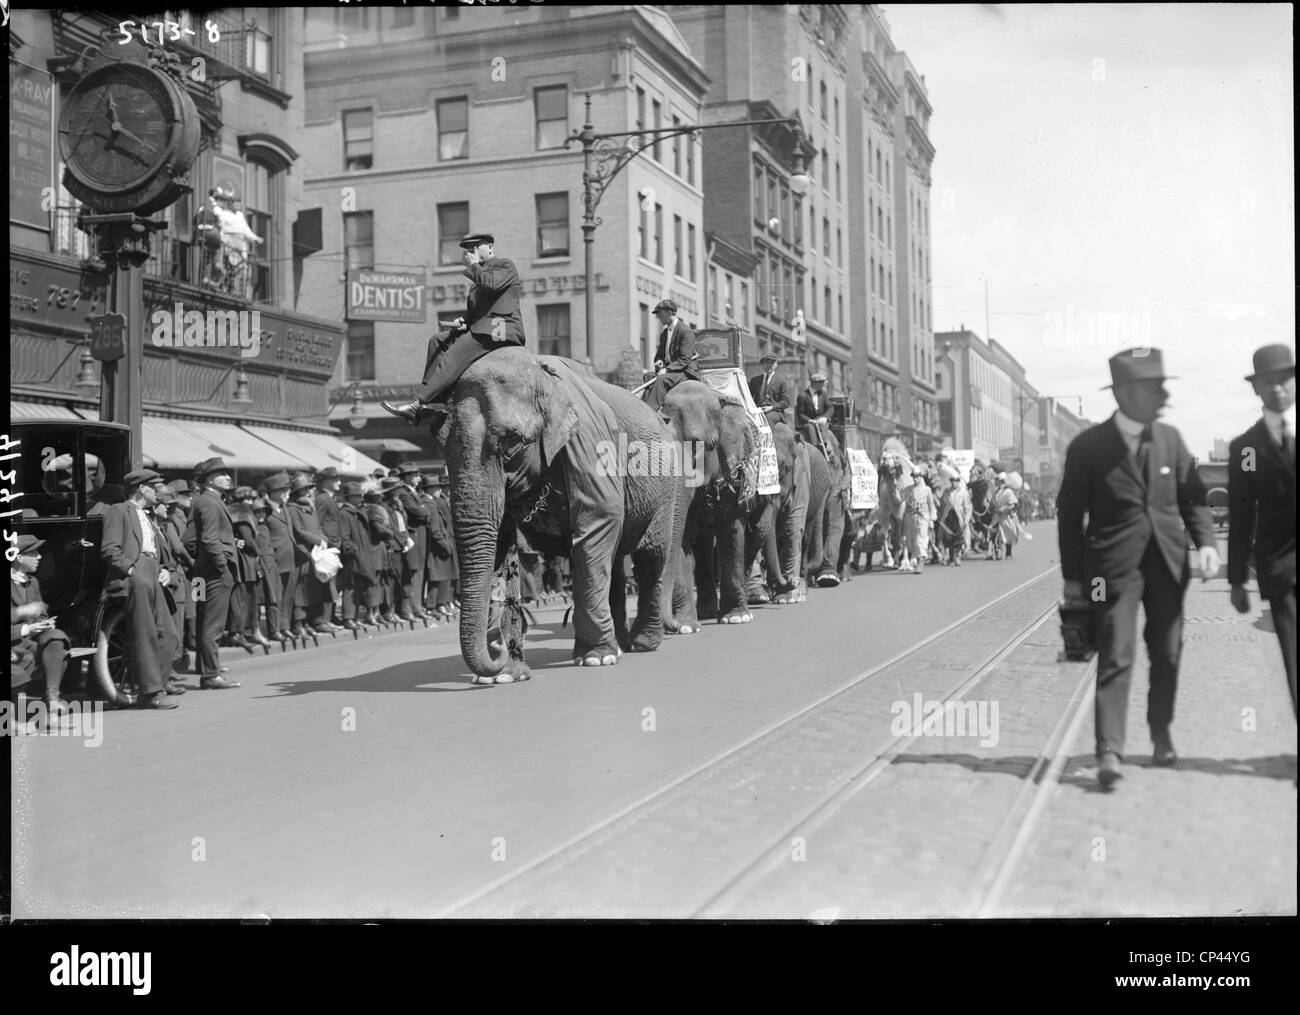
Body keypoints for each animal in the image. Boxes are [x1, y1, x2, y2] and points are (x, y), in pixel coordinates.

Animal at [436, 345, 681, 680]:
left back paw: (642, 644)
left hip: (665, 488)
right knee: (616, 561)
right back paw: (620, 644)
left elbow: (598, 522)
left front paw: (596, 658)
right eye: (442, 447)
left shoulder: (588, 443)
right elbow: (499, 546)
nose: (498, 650)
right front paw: (506, 674)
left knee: (650, 556)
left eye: (511, 444)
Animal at [660, 382, 759, 626]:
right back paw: (705, 613)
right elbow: (683, 534)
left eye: (698, 444)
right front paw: (686, 626)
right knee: (702, 545)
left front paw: (737, 618)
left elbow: (731, 529)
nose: (672, 625)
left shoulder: (733, 473)